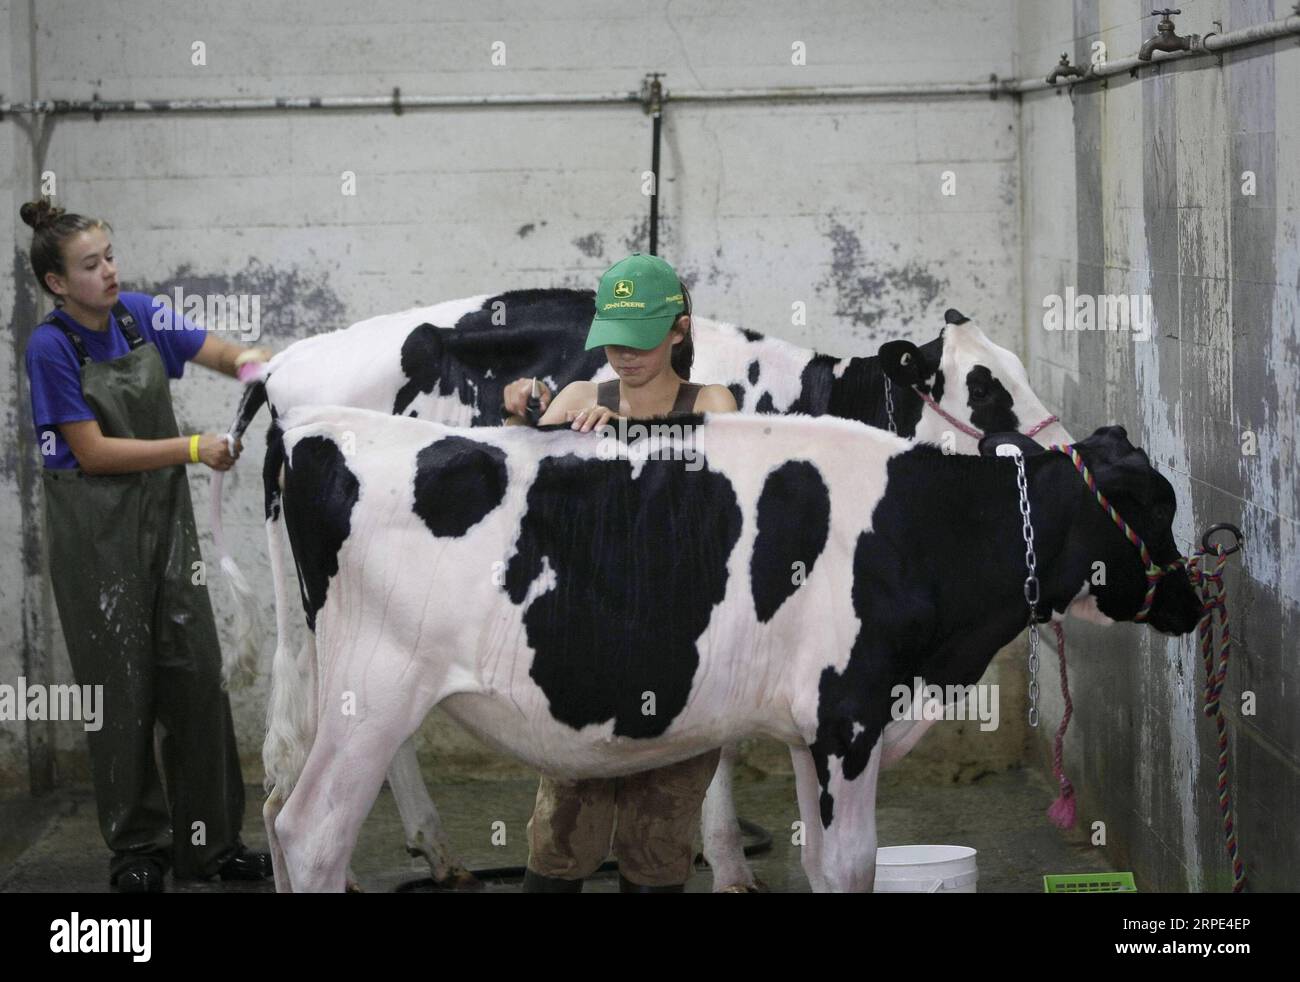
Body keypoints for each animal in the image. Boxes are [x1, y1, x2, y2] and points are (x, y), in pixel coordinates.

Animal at [228, 290, 1071, 889]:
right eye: (988, 391)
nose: (1065, 455)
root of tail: (285, 366)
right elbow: (717, 746)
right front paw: (728, 866)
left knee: (314, 758)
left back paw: (433, 850)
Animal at [261, 403, 1196, 894]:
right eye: (1157, 502)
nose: (1193, 600)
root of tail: (318, 423)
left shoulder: (810, 731)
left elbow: (823, 864)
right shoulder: (851, 715)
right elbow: (851, 865)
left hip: (330, 689)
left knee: (276, 812)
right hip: (376, 693)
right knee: (311, 832)